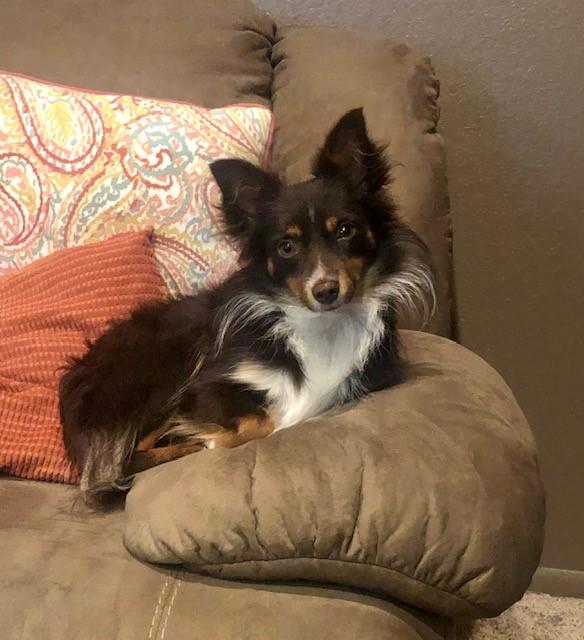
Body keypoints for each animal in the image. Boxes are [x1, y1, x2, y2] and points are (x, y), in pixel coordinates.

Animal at [59, 108, 435, 508]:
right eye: (286, 246)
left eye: (346, 230)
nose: (326, 291)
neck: (322, 327)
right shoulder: (201, 387)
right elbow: (261, 421)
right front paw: (212, 438)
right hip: (169, 363)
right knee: (126, 460)